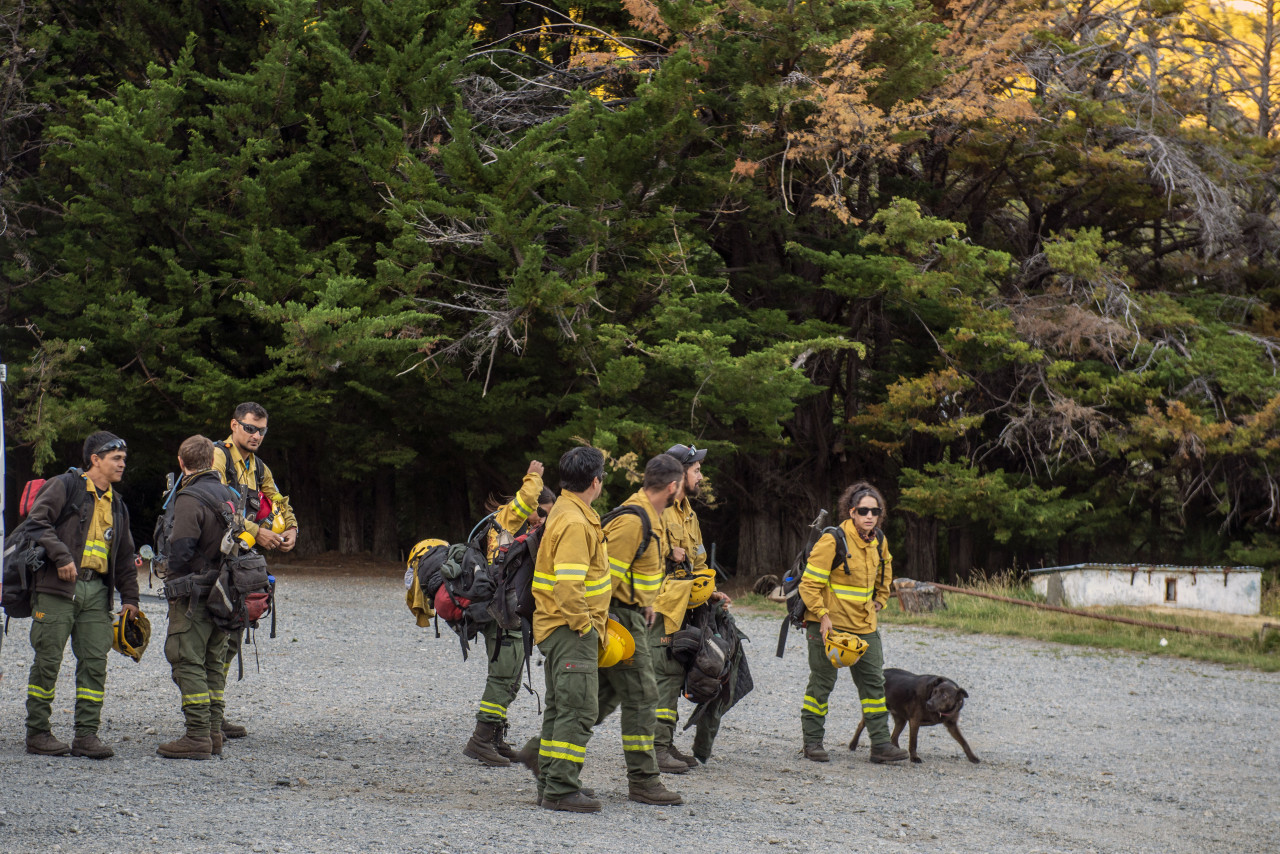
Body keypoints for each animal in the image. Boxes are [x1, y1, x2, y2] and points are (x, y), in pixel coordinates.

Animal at [849, 665, 977, 763]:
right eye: (934, 692)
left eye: (945, 696)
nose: (928, 704)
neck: (942, 711)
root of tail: (882, 671)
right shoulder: (915, 721)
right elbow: (913, 742)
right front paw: (914, 758)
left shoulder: (952, 725)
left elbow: (964, 742)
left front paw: (973, 757)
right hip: (874, 708)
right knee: (861, 725)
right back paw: (853, 745)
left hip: (901, 720)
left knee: (893, 737)